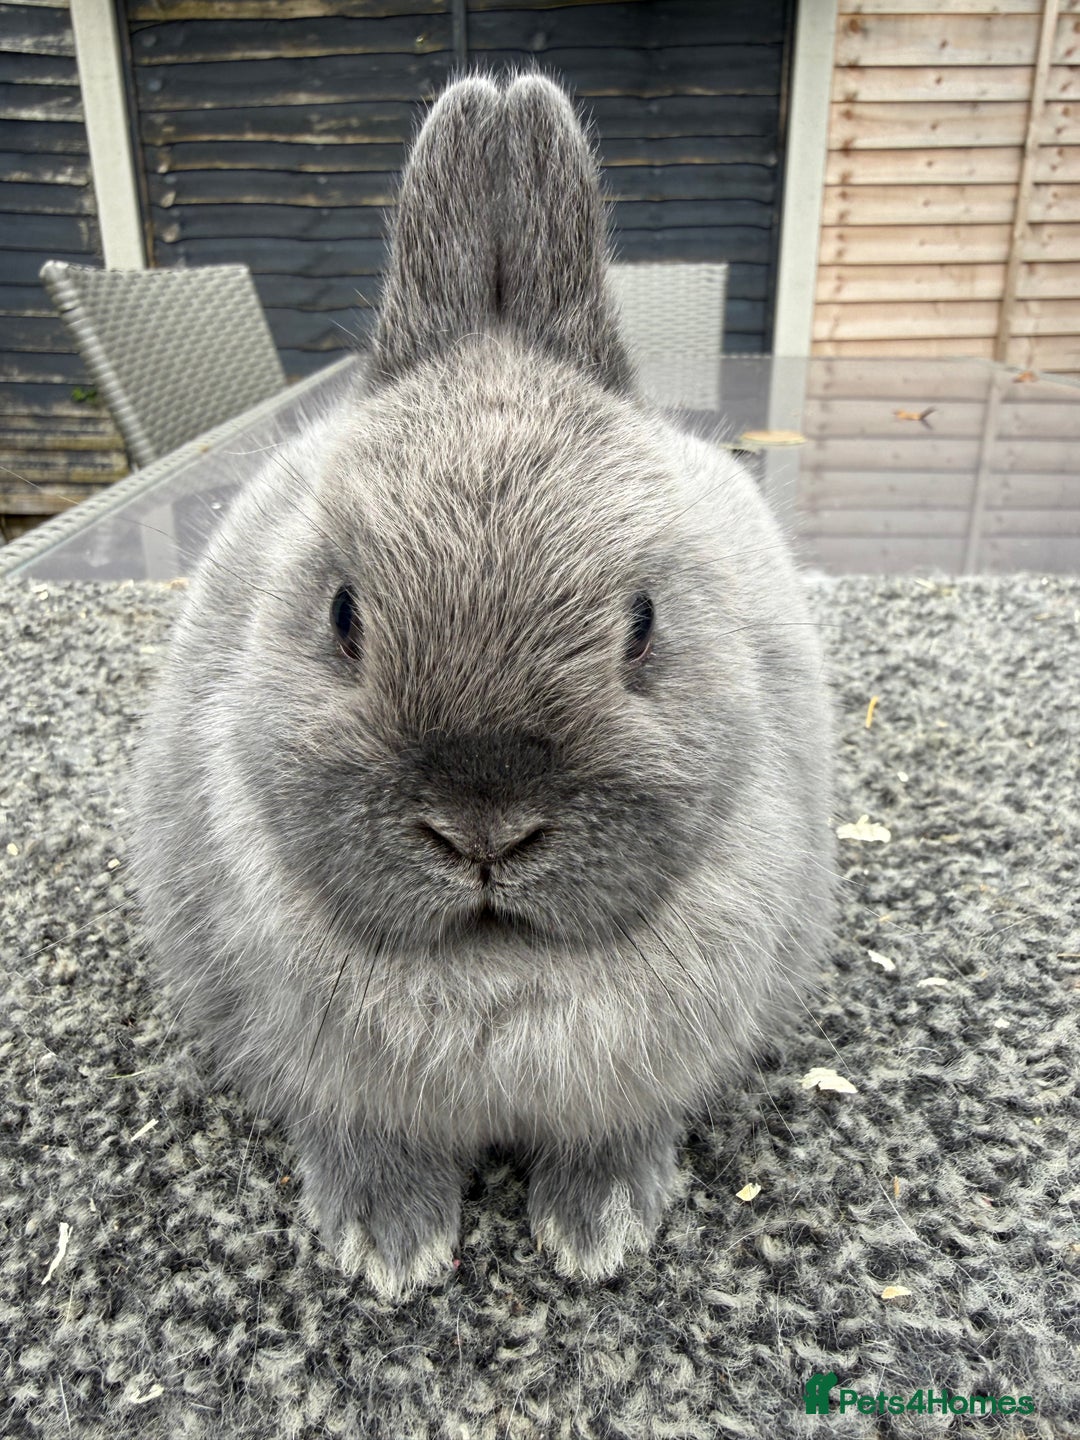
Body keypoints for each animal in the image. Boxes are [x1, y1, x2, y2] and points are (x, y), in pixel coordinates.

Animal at [130, 71, 836, 1300]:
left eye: (644, 624)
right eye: (343, 616)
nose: (484, 831)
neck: (494, 971)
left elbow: (615, 1131)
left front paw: (599, 1229)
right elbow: (369, 1137)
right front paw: (389, 1245)